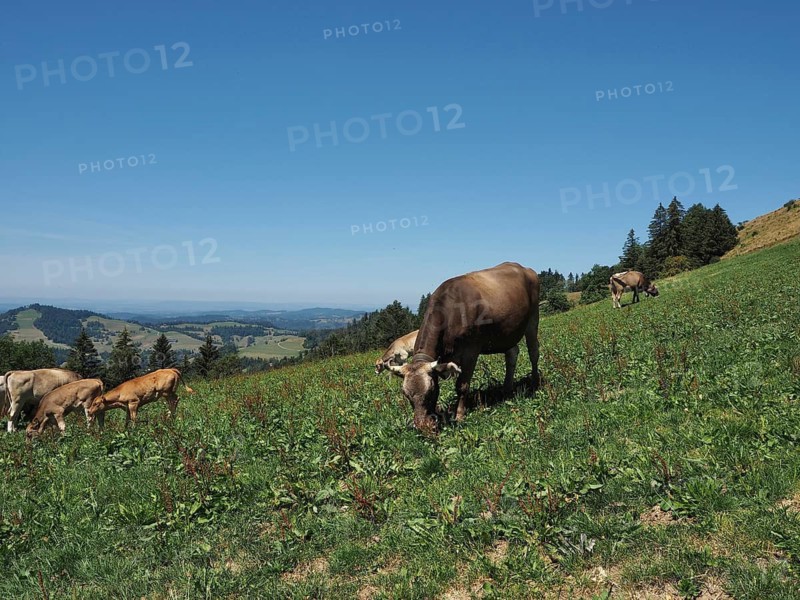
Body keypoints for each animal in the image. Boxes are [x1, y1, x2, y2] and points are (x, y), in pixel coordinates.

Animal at [387, 262, 540, 431]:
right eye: (406, 395)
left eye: (431, 390)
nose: (423, 426)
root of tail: (523, 268)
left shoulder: (471, 351)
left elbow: (462, 385)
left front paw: (459, 415)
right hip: (507, 332)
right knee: (512, 354)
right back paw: (507, 389)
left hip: (533, 318)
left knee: (534, 352)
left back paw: (534, 383)